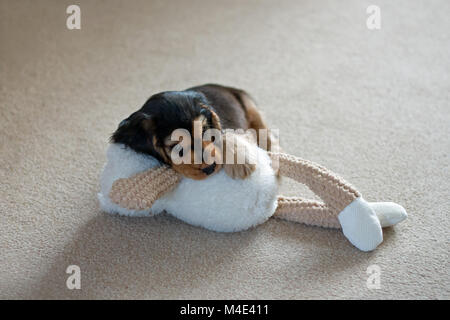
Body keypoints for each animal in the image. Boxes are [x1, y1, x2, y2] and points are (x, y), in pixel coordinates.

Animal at [111, 84, 270, 180]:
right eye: (176, 146)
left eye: (205, 131)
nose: (210, 168)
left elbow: (224, 135)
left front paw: (239, 162)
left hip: (252, 109)